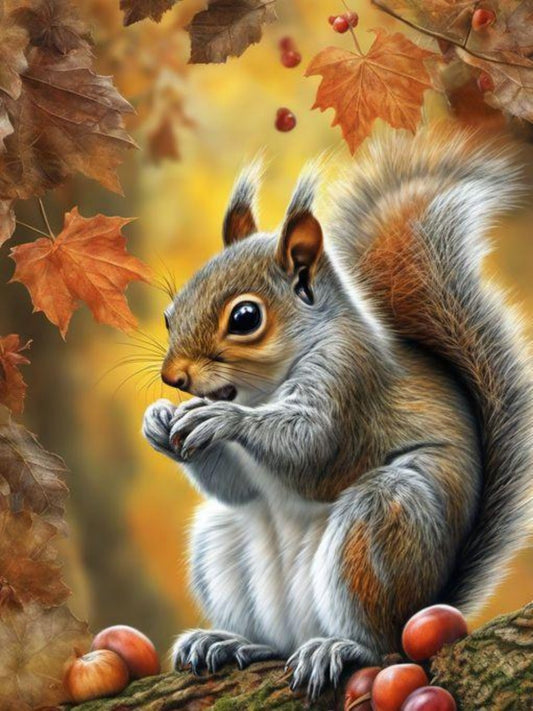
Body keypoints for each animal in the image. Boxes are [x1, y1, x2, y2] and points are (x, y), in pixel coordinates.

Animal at [143, 125, 533, 700]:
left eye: (245, 317)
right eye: (170, 314)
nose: (174, 379)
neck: (261, 391)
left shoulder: (350, 383)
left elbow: (314, 452)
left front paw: (225, 423)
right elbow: (235, 486)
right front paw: (159, 421)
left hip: (380, 528)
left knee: (384, 646)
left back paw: (339, 647)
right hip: (222, 541)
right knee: (274, 637)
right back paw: (232, 642)